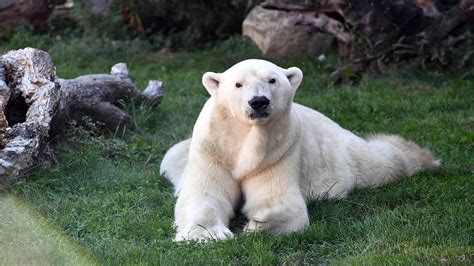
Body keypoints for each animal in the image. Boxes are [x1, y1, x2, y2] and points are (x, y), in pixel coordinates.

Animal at [160, 59, 440, 242]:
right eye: (238, 84)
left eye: (272, 80)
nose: (259, 102)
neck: (245, 138)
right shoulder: (213, 149)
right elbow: (204, 194)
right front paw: (207, 233)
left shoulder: (279, 151)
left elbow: (281, 200)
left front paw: (259, 221)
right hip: (180, 155)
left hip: (344, 152)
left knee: (383, 163)